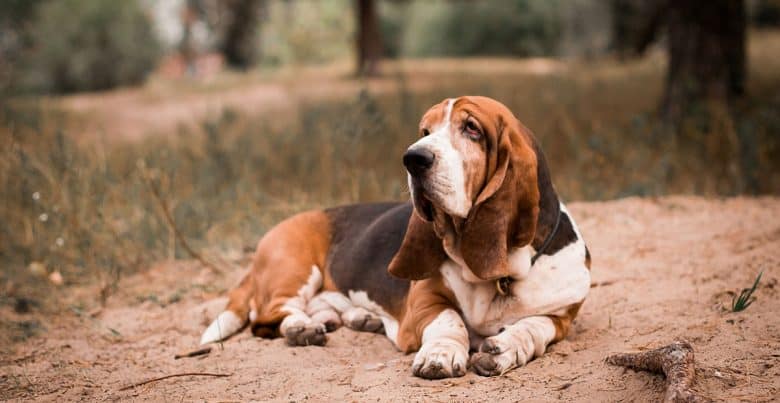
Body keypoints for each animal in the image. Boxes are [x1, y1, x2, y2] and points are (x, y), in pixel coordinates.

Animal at [198, 95, 588, 378]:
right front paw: (440, 354)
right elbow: (450, 321)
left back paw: (354, 318)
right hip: (294, 267)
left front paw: (506, 347)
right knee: (268, 317)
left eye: (471, 128)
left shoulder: (562, 317)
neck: (499, 274)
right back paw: (302, 328)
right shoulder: (424, 304)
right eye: (425, 130)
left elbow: (534, 325)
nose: (413, 158)